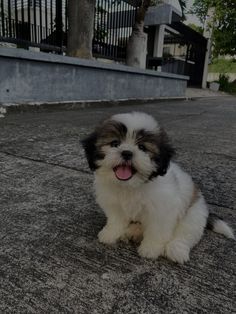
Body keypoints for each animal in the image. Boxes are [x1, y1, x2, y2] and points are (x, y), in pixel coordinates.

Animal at [81, 111, 234, 264]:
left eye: (142, 147)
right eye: (114, 143)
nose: (127, 153)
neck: (131, 185)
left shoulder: (161, 210)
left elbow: (157, 231)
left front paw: (151, 249)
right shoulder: (114, 204)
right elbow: (116, 219)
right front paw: (110, 233)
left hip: (194, 214)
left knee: (186, 232)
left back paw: (176, 250)